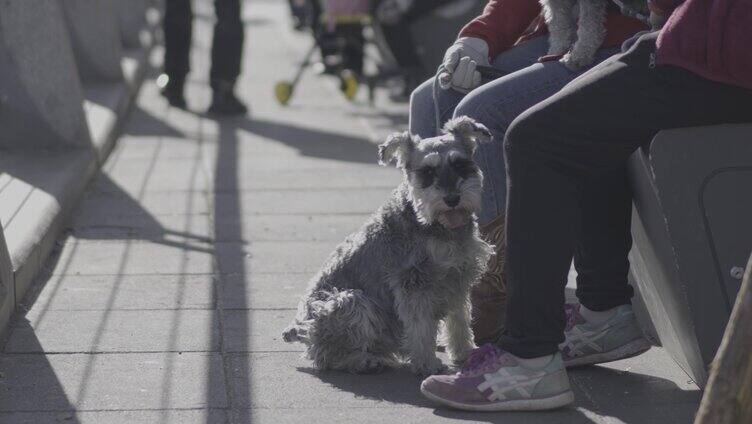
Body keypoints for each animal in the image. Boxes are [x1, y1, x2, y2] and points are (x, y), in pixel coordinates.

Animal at [282, 116, 494, 374]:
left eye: (460, 164)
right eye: (427, 172)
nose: (452, 199)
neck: (435, 226)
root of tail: (301, 327)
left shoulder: (459, 278)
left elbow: (459, 319)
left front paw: (464, 353)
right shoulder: (413, 282)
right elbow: (421, 326)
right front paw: (427, 363)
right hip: (349, 302)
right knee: (328, 356)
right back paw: (365, 361)